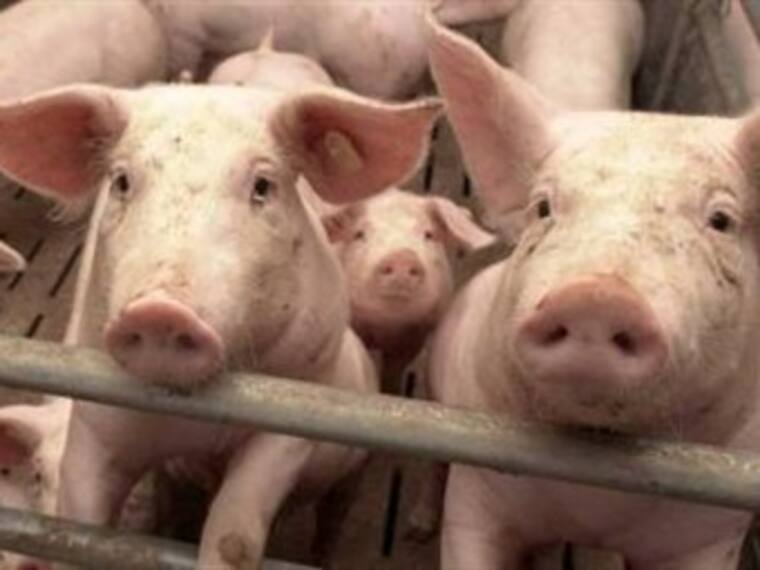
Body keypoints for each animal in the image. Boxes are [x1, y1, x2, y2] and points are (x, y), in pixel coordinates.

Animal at [0, 81, 439, 569]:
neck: (192, 427)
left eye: (263, 186)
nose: (159, 311)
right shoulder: (98, 415)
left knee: (331, 521)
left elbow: (235, 530)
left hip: (348, 478)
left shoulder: (296, 411)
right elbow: (79, 519)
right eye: (121, 182)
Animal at [426, 18, 760, 570]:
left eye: (721, 220)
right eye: (543, 207)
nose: (598, 297)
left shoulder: (709, 533)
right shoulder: (477, 495)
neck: (593, 502)